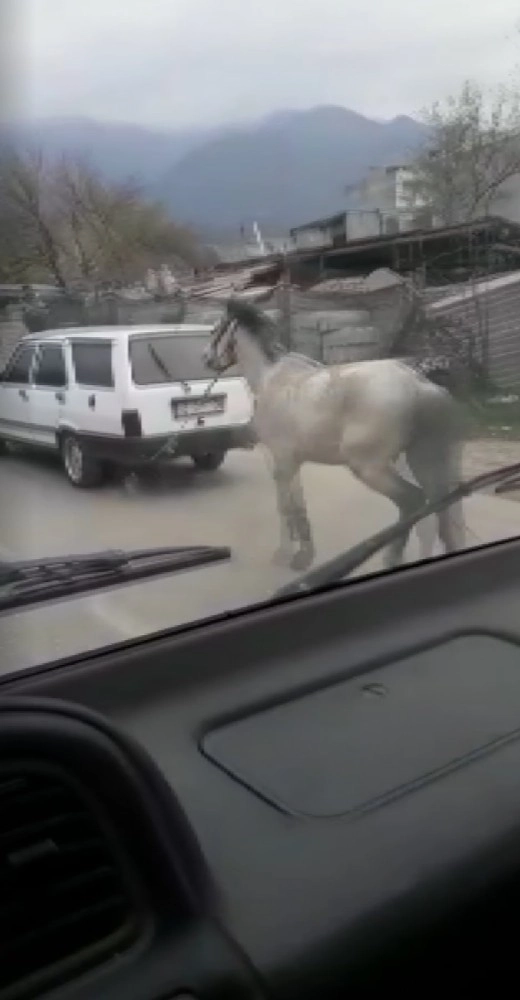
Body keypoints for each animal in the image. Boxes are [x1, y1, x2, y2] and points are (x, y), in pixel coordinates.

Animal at [204, 296, 468, 572]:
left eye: (214, 331)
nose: (207, 359)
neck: (271, 380)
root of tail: (418, 384)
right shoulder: (293, 462)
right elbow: (299, 505)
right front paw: (304, 555)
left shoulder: (280, 461)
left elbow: (285, 506)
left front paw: (285, 555)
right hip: (427, 462)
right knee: (440, 511)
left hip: (371, 468)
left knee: (413, 501)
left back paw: (391, 557)